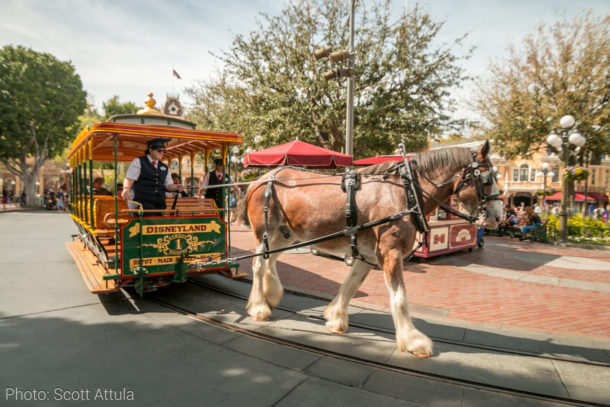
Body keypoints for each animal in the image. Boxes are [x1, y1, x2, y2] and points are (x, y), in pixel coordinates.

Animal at [233, 142, 498, 358]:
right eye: (487, 180)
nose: (497, 217)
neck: (405, 193)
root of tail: (261, 179)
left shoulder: (368, 255)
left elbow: (351, 284)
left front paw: (335, 317)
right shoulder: (391, 253)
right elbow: (400, 297)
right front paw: (413, 341)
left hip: (285, 235)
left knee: (270, 261)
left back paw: (271, 295)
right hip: (266, 233)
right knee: (258, 264)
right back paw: (259, 307)